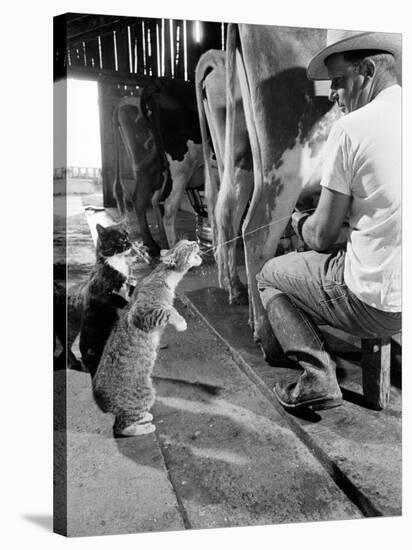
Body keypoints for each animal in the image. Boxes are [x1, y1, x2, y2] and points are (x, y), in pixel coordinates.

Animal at [93, 239, 203, 438]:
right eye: (187, 246)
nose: (196, 241)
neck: (164, 277)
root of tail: (99, 401)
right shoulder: (142, 312)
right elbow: (167, 311)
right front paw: (181, 323)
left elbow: (171, 308)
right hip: (145, 393)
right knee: (121, 427)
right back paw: (144, 426)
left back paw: (144, 418)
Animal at [198, 24, 340, 366]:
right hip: (286, 162)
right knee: (255, 229)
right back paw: (269, 337)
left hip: (242, 157)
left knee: (226, 209)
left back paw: (237, 294)